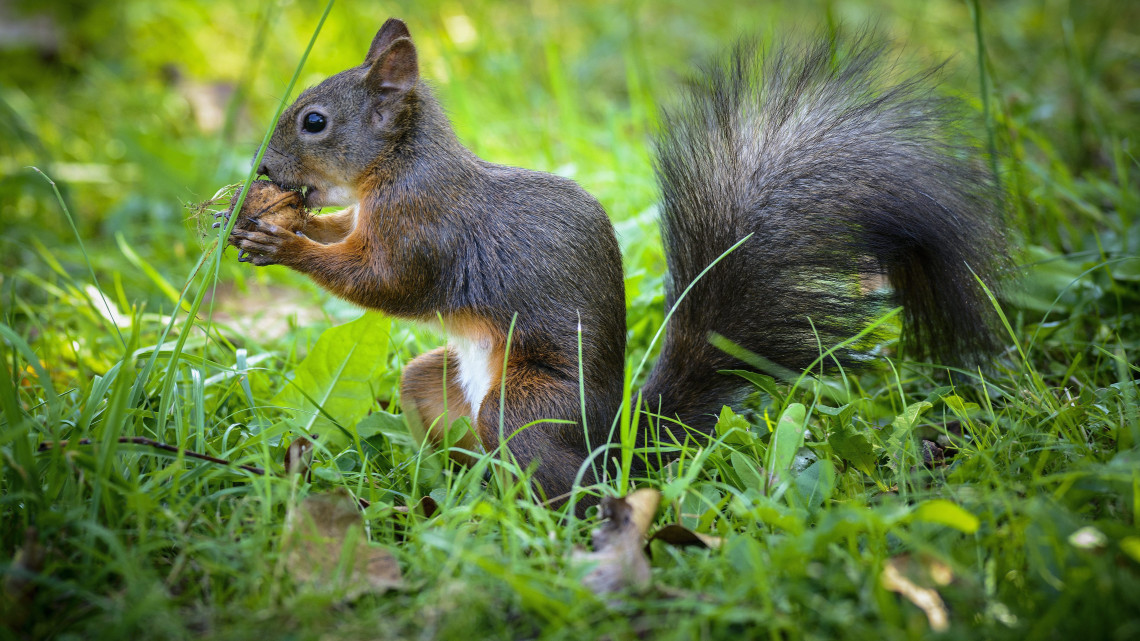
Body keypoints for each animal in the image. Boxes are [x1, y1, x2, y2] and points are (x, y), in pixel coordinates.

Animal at [229, 17, 1007, 508]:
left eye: (315, 122)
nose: (262, 168)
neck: (397, 168)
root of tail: (612, 436)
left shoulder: (427, 230)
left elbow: (384, 283)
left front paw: (283, 242)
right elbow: (344, 233)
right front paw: (276, 217)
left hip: (527, 407)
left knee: (565, 483)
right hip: (434, 386)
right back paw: (452, 494)